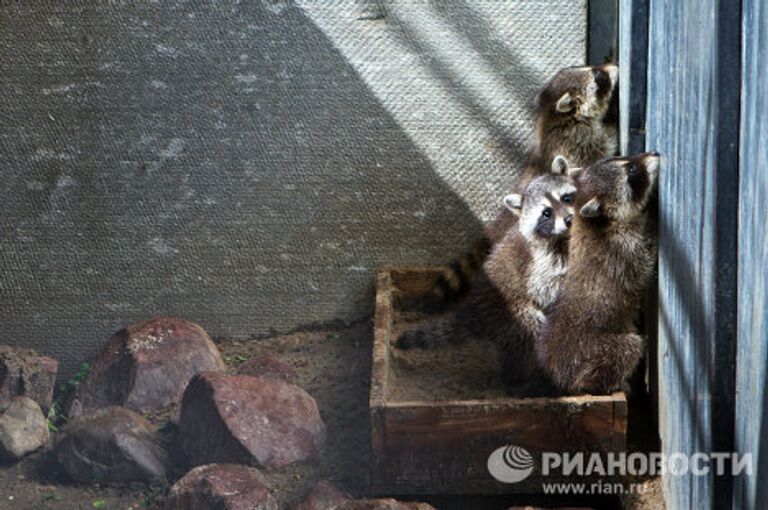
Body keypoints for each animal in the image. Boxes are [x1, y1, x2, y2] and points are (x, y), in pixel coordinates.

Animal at [400, 157, 572, 388]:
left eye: (566, 197)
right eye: (547, 213)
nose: (569, 219)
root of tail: (475, 309)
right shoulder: (542, 263)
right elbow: (544, 288)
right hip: (510, 313)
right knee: (530, 330)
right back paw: (521, 379)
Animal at [428, 62, 620, 304]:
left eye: (590, 67)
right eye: (598, 76)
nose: (614, 66)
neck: (553, 115)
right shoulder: (582, 141)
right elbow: (604, 148)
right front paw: (613, 127)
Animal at [536, 151, 660, 394]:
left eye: (627, 158)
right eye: (632, 171)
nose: (655, 153)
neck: (591, 222)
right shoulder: (621, 250)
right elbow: (643, 266)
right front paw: (653, 226)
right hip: (596, 350)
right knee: (629, 348)